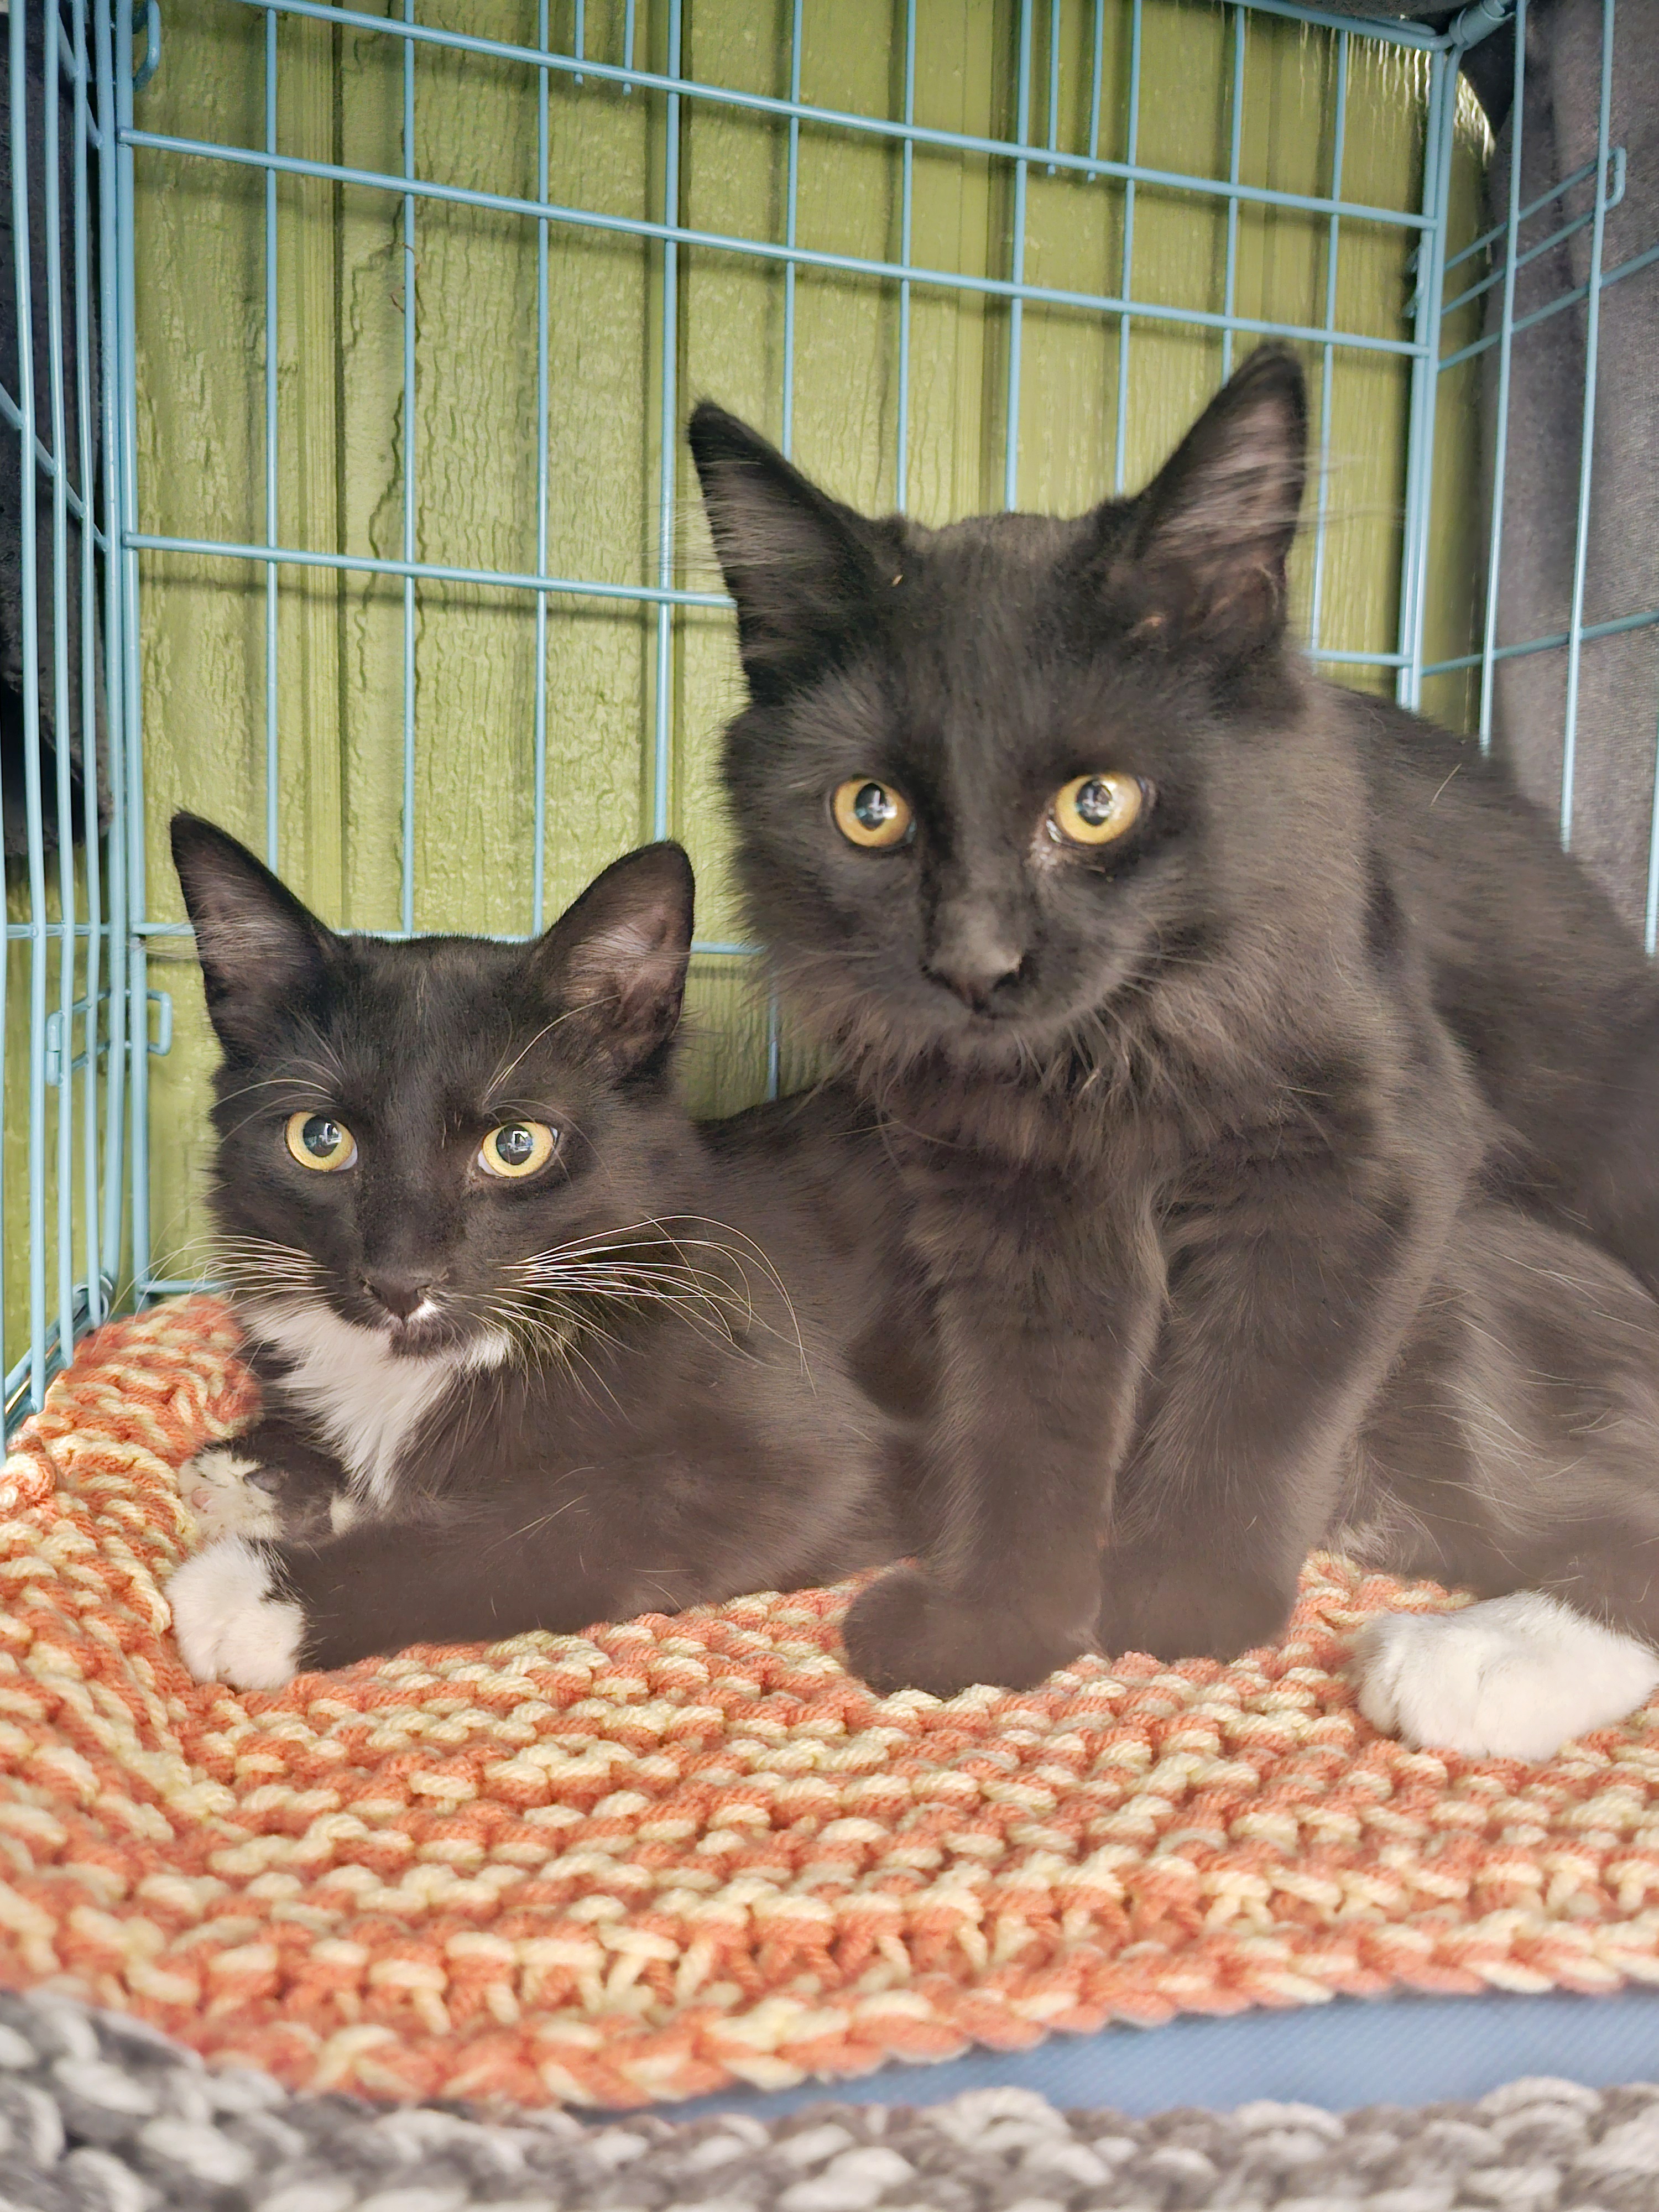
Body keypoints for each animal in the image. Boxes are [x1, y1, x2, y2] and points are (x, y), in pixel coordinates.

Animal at [167, 823, 938, 1681]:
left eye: (516, 1146)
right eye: (320, 1139)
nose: (400, 1281)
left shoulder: (793, 1465)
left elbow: (537, 1532)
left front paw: (258, 1595)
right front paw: (260, 1472)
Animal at [690, 349, 1659, 1761]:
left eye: (1096, 804)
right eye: (869, 813)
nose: (976, 960)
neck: (1107, 1059)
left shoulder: (1358, 1158)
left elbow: (1258, 1385)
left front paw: (1181, 1600)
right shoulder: (1007, 1211)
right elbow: (1025, 1420)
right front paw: (1001, 1620)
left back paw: (1467, 1660)